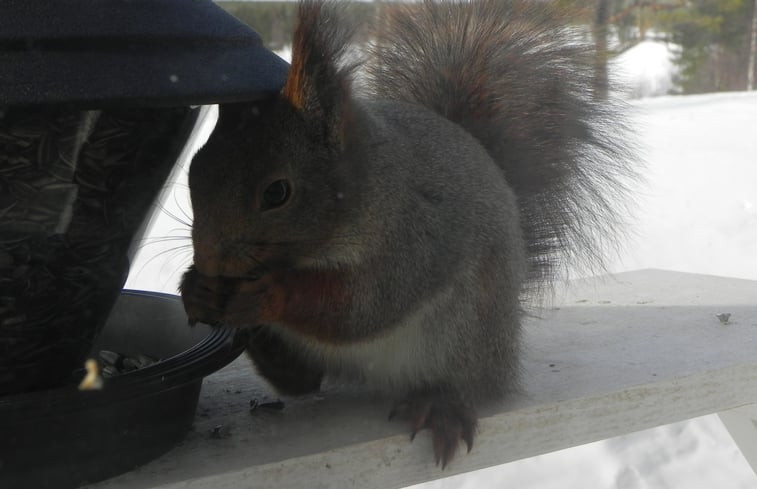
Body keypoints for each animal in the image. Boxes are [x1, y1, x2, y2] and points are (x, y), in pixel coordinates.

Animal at [180, 0, 636, 466]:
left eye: (277, 193)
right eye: (194, 171)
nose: (210, 258)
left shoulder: (414, 239)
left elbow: (362, 306)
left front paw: (272, 292)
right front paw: (196, 287)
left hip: (465, 331)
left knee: (463, 382)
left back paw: (441, 405)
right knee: (303, 382)